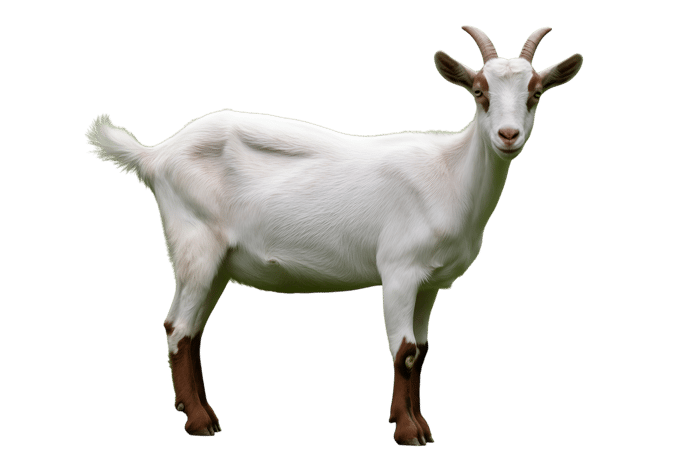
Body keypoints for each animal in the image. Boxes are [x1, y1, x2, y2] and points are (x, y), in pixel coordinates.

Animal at [85, 25, 583, 446]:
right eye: (479, 93)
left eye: (536, 93)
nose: (508, 135)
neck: (450, 174)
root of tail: (155, 156)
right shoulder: (399, 269)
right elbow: (403, 351)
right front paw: (408, 433)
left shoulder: (430, 282)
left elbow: (422, 351)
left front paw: (417, 422)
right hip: (196, 243)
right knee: (179, 329)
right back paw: (199, 423)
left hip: (217, 262)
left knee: (188, 328)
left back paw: (196, 411)